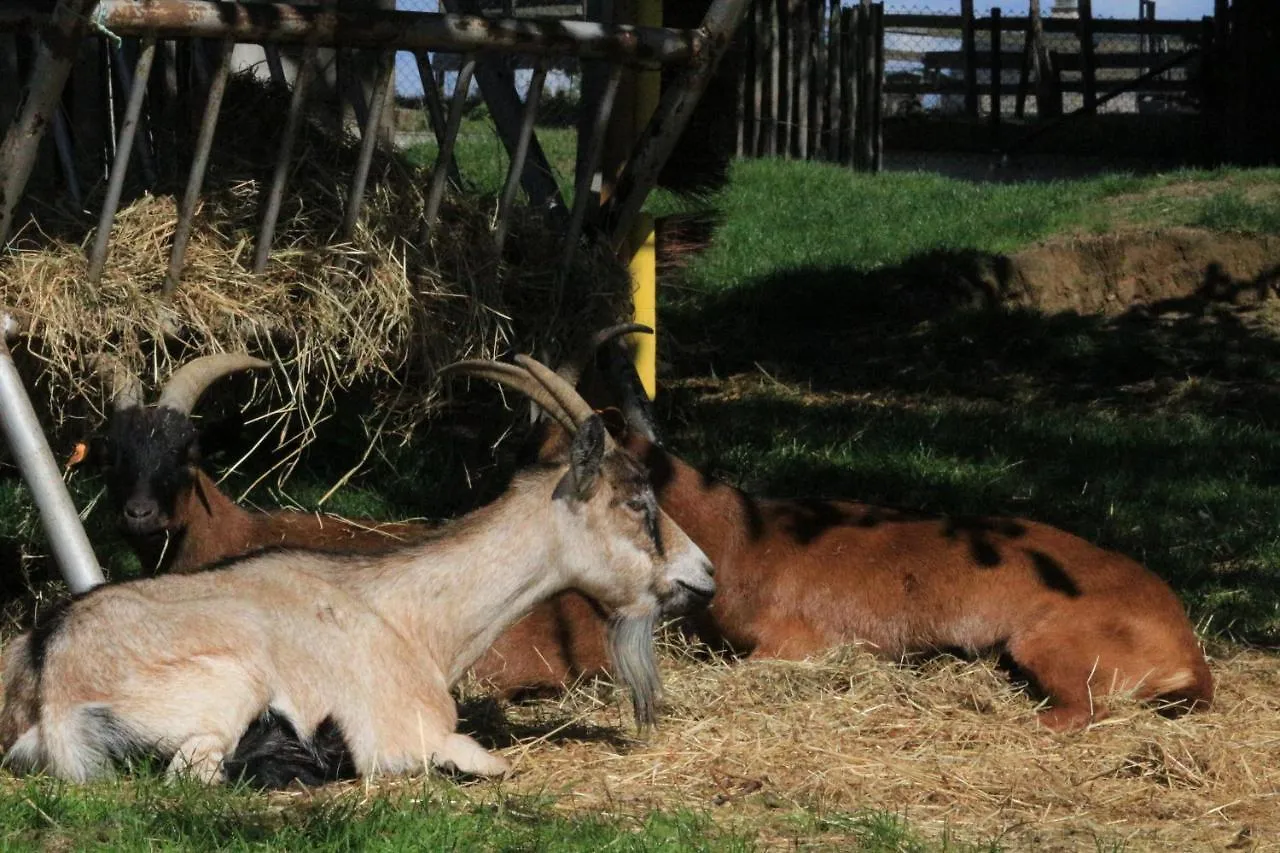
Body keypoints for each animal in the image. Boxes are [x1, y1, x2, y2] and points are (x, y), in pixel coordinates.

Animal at [476, 324, 1213, 722]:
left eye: (573, 466)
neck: (747, 535)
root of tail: (1188, 647)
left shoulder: (798, 644)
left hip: (1047, 646)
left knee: (1078, 712)